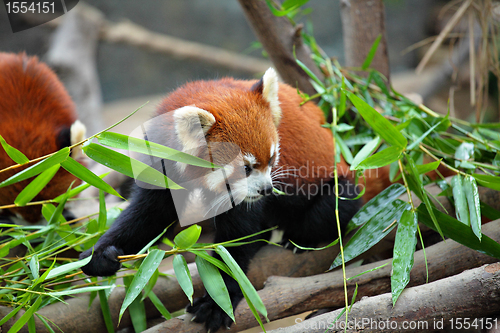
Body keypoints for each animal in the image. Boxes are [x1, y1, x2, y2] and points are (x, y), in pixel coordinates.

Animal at [80, 68, 378, 330]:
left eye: (272, 158)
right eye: (246, 167)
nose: (267, 189)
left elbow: (237, 238)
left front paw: (217, 300)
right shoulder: (162, 164)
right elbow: (146, 214)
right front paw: (99, 254)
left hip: (338, 182)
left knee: (332, 207)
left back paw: (298, 239)